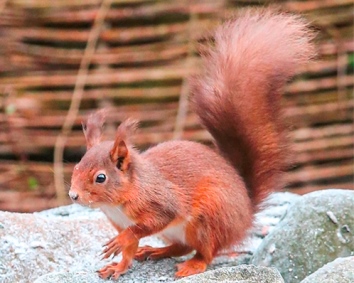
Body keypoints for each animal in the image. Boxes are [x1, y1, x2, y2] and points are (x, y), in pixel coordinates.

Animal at [69, 8, 316, 280]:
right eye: (75, 167)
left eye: (100, 178)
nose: (73, 195)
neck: (119, 200)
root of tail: (245, 214)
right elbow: (129, 251)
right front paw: (119, 266)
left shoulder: (160, 203)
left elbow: (144, 226)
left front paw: (120, 241)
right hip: (179, 231)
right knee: (182, 246)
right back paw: (156, 251)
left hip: (208, 219)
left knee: (206, 253)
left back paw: (192, 265)